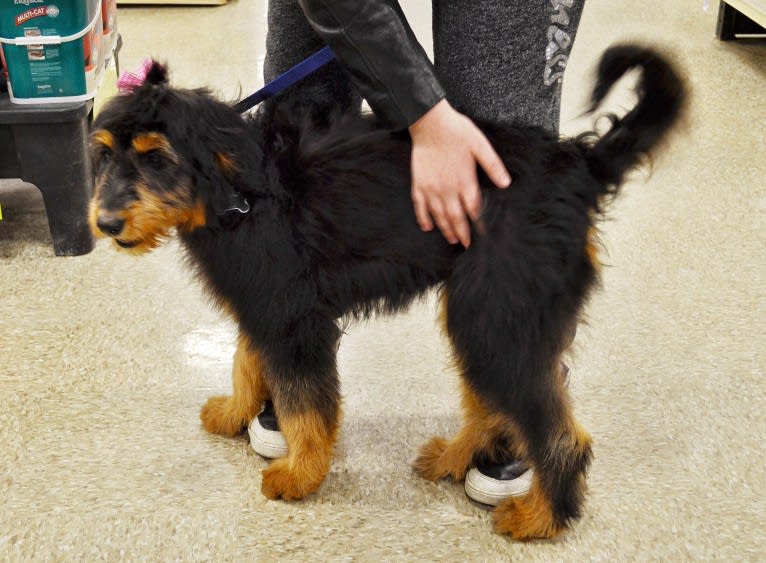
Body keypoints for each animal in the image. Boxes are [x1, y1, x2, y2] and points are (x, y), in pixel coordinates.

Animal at [87, 46, 688, 540]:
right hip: (486, 316)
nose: (106, 223)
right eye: (104, 155)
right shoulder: (266, 303)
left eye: (157, 158)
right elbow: (246, 360)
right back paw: (455, 458)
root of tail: (577, 168)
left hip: (495, 315)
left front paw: (300, 473)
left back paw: (541, 518)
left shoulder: (293, 319)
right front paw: (237, 412)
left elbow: (304, 403)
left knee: (562, 434)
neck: (237, 187)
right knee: (492, 401)